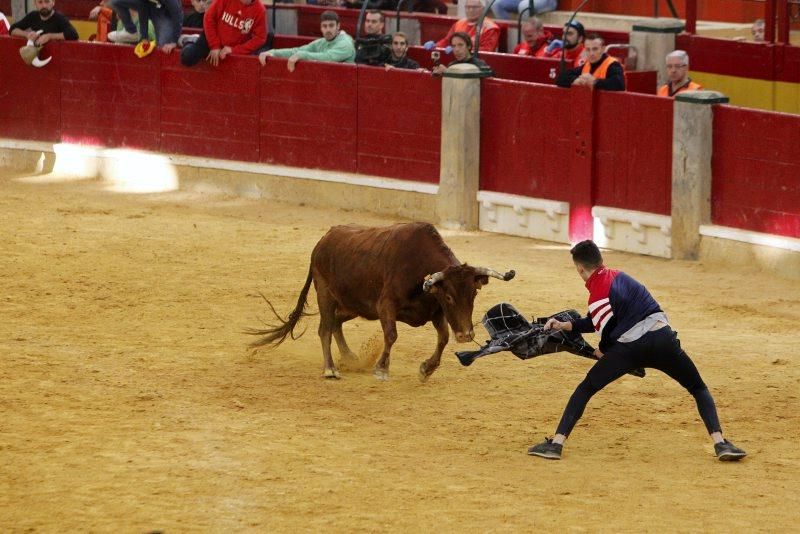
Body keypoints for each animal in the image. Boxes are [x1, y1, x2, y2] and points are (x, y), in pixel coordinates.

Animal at [247, 222, 516, 382]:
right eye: (449, 296)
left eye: (473, 294)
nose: (467, 335)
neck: (419, 267)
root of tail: (323, 240)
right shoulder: (386, 305)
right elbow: (391, 335)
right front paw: (381, 369)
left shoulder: (434, 311)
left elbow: (442, 338)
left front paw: (426, 369)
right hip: (326, 294)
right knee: (324, 328)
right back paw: (331, 369)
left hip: (354, 305)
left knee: (335, 323)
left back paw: (350, 357)